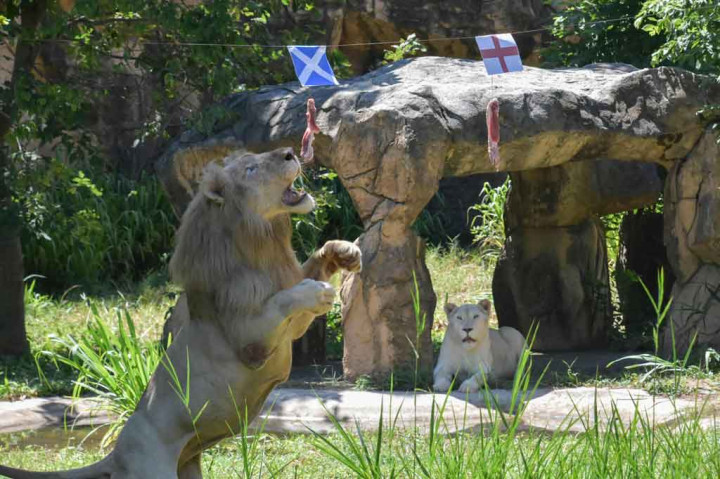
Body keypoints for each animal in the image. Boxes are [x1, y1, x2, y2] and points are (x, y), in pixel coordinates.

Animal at [0, 147, 361, 479]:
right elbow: (284, 300)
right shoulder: (251, 344)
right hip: (153, 467)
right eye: (251, 169)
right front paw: (318, 291)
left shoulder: (288, 328)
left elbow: (311, 269)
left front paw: (345, 252)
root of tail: (116, 454)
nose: (289, 152)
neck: (262, 240)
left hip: (189, 464)